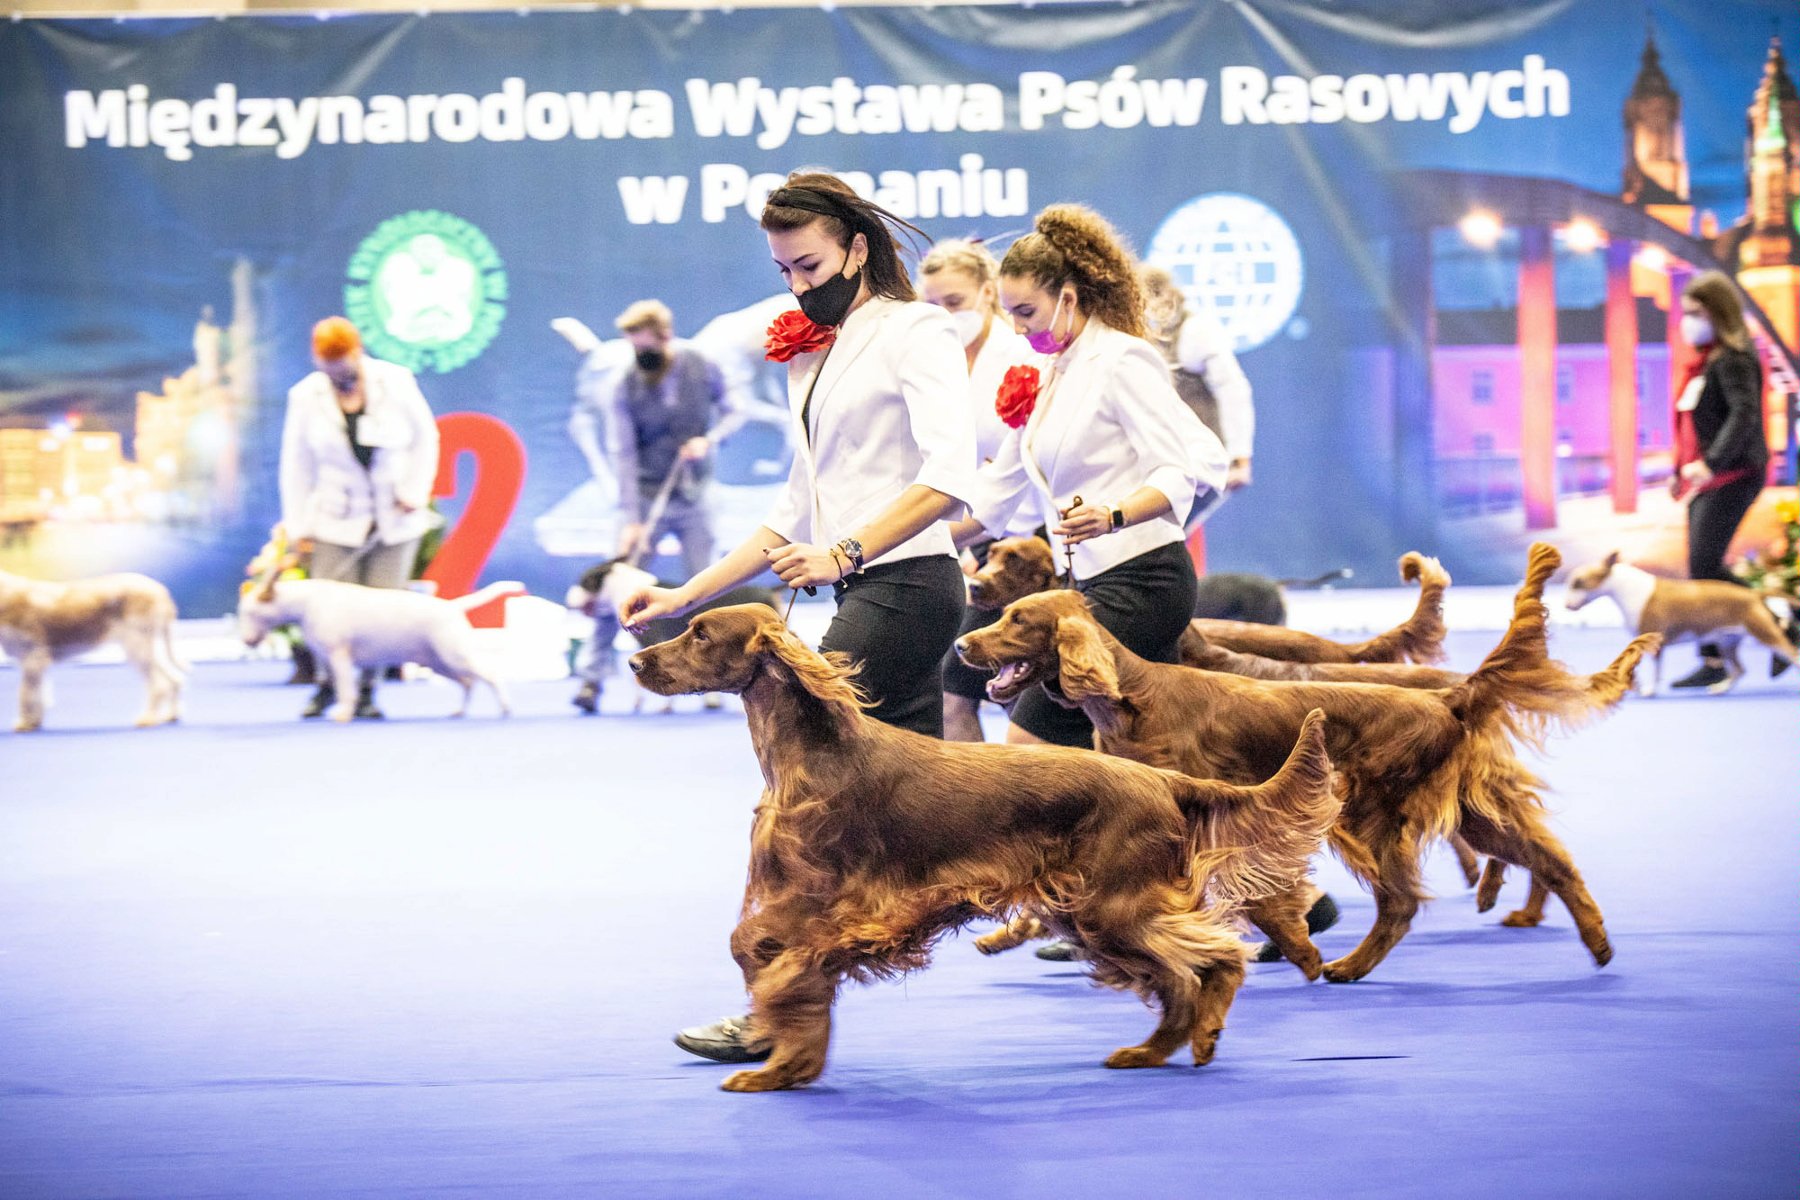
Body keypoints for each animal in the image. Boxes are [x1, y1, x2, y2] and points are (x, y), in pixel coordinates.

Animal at [0, 572, 186, 734]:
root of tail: (160, 590)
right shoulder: (35, 664)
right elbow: (38, 696)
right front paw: (34, 723)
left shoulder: (32, 658)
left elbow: (25, 696)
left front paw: (24, 724)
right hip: (149, 648)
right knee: (174, 679)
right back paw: (171, 715)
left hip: (138, 647)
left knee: (160, 685)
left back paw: (147, 718)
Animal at [235, 568, 511, 719]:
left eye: (249, 613)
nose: (247, 641)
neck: (306, 603)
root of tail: (452, 606)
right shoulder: (329, 659)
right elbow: (336, 687)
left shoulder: (340, 656)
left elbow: (346, 690)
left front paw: (344, 714)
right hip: (438, 662)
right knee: (468, 682)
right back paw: (459, 712)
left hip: (455, 655)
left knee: (490, 676)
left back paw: (505, 708)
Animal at [633, 604, 1339, 1093]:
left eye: (699, 633)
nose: (637, 663)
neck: (812, 753)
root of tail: (1163, 781)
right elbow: (765, 956)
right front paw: (784, 1055)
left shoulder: (823, 903)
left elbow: (768, 957)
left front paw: (781, 1064)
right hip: (1086, 911)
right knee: (1177, 977)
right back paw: (1149, 1051)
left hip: (1115, 904)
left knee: (1214, 960)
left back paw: (1206, 1029)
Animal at [964, 543, 1648, 985]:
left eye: (1018, 618)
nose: (962, 643)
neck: (1134, 697)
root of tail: (1447, 697)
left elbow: (1261, 896)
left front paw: (1296, 948)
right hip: (1459, 812)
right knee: (1548, 859)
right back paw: (1596, 943)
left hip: (1372, 813)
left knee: (1404, 902)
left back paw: (1348, 965)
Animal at [1569, 550, 1792, 694]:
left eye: (1578, 582)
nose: (1566, 604)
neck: (1625, 589)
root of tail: (1753, 594)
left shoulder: (1654, 642)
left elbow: (1655, 670)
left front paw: (1649, 690)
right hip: (1727, 642)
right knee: (1739, 670)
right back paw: (1720, 688)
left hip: (1763, 633)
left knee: (1792, 653)